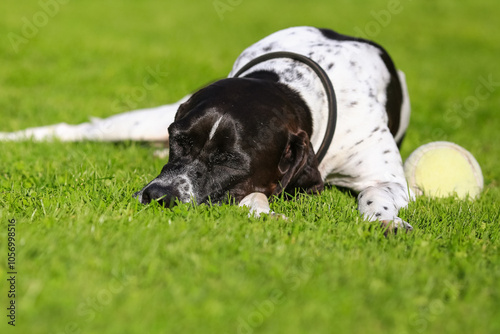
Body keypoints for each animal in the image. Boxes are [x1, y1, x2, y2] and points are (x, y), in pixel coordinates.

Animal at [0, 27, 414, 232]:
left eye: (230, 161)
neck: (295, 88)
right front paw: (262, 212)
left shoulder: (389, 179)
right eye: (178, 140)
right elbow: (251, 198)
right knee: (79, 128)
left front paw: (386, 220)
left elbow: (376, 195)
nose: (158, 196)